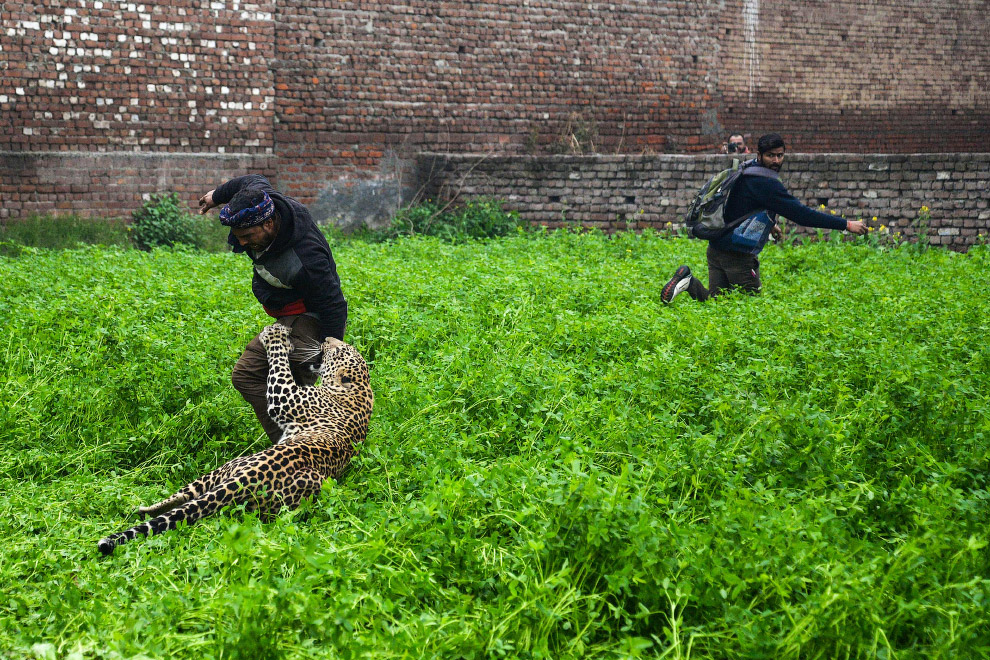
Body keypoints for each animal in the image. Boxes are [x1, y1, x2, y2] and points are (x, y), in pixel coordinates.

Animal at [98, 322, 376, 556]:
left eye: (338, 350)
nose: (327, 338)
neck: (360, 389)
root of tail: (244, 480)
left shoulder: (285, 396)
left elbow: (279, 365)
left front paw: (276, 338)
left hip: (227, 468)